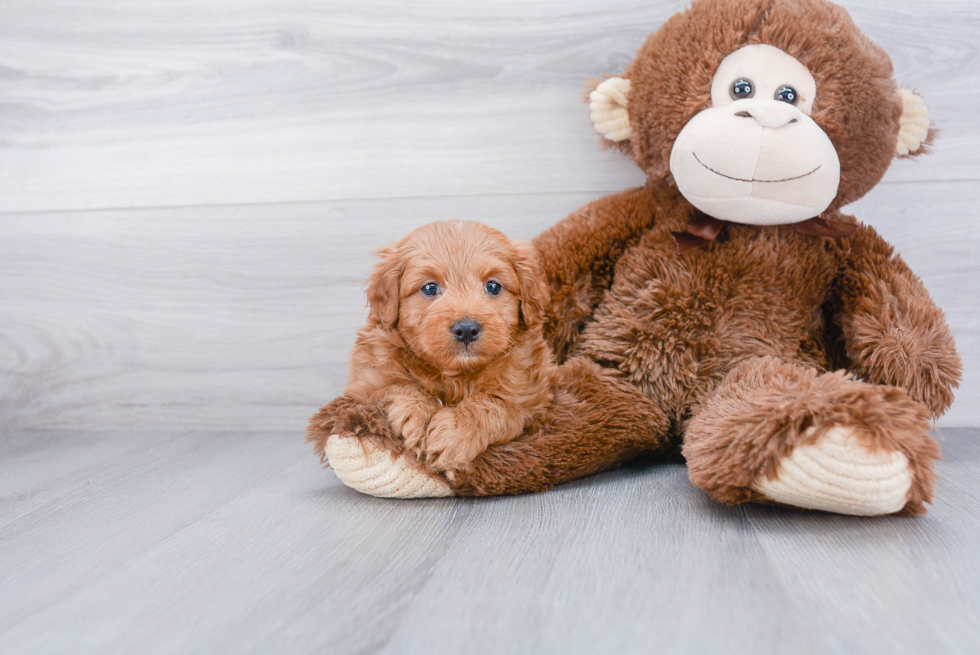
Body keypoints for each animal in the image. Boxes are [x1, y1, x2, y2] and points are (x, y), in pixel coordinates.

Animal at [342, 220, 560, 472]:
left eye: (493, 286)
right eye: (429, 288)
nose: (466, 329)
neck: (456, 375)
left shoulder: (530, 398)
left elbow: (492, 403)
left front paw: (455, 434)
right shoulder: (365, 383)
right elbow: (398, 386)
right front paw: (418, 415)